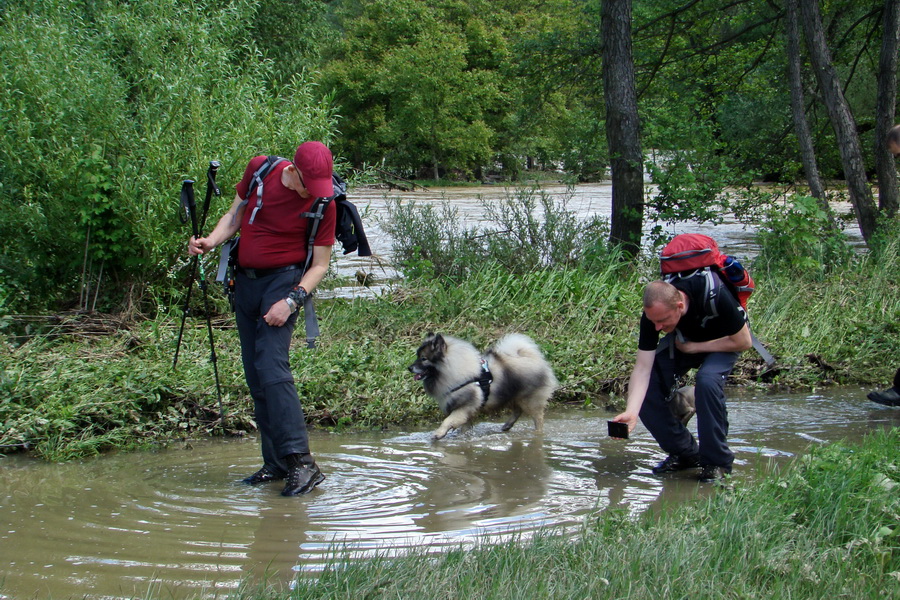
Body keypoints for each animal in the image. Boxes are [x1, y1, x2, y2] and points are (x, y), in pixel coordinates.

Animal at [408, 332, 556, 440]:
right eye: (417, 356)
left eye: (424, 359)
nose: (409, 368)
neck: (452, 371)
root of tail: (533, 358)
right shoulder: (465, 412)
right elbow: (463, 427)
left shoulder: (464, 408)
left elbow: (447, 421)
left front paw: (438, 433)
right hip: (512, 396)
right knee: (517, 411)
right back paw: (506, 426)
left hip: (529, 400)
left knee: (538, 419)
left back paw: (536, 433)